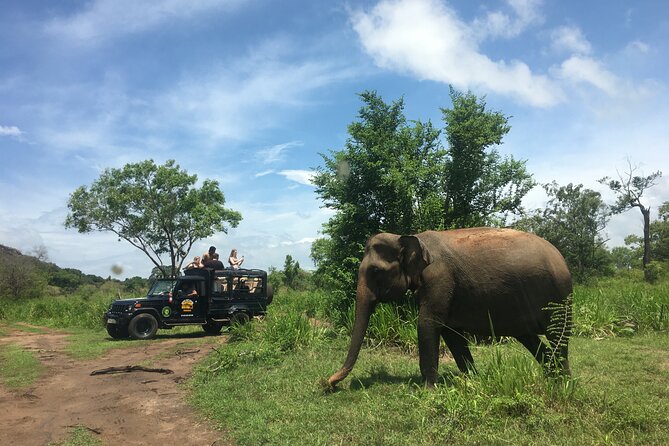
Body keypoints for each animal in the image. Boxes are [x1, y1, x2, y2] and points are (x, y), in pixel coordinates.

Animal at [327, 227, 572, 388]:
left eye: (376, 271)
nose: (328, 383)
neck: (411, 237)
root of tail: (561, 256)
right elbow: (450, 332)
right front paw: (473, 381)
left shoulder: (439, 278)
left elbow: (427, 324)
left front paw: (427, 391)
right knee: (530, 338)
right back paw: (552, 378)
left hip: (558, 296)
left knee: (558, 337)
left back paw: (563, 384)